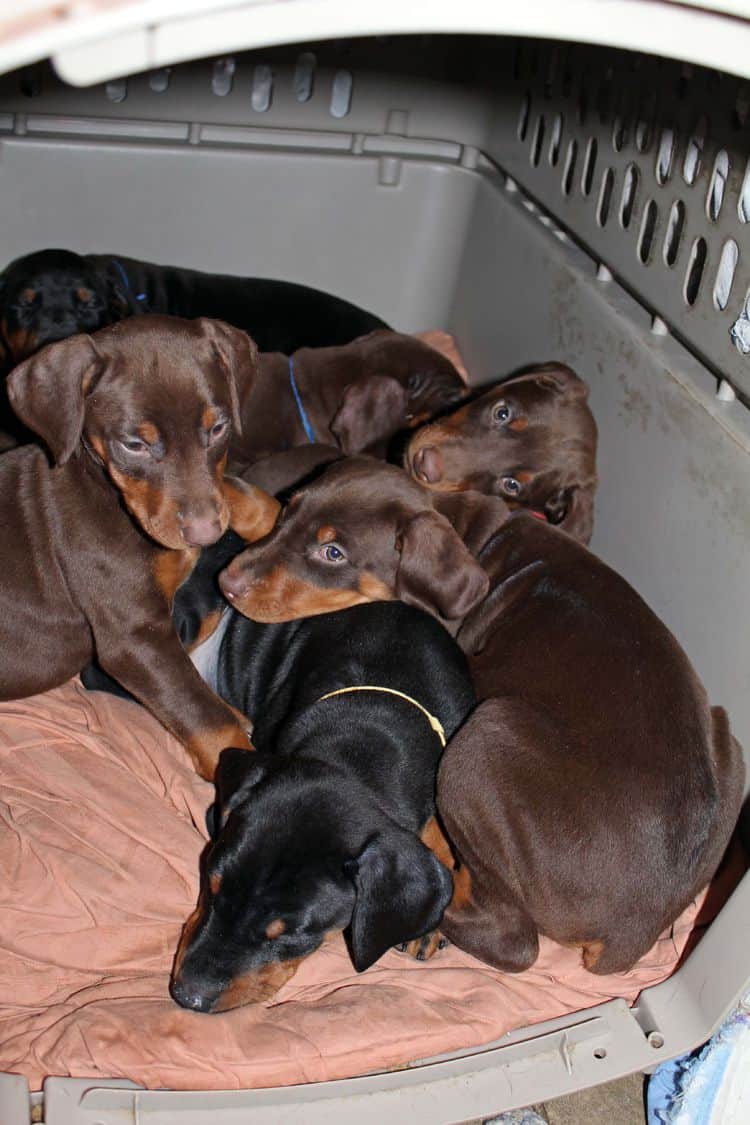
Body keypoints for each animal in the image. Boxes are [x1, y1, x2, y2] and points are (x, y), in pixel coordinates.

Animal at [0, 312, 279, 778]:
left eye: (217, 428)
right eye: (134, 444)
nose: (206, 535)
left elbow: (233, 488)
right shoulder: (136, 638)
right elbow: (203, 715)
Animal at [80, 531, 470, 1017]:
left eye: (291, 933)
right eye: (210, 884)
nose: (187, 997)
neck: (372, 722)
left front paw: (429, 922)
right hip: (196, 609)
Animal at [217, 456, 746, 976]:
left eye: (333, 553)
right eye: (289, 510)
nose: (227, 582)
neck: (470, 532)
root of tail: (630, 934)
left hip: (482, 739)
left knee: (512, 938)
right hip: (728, 744)